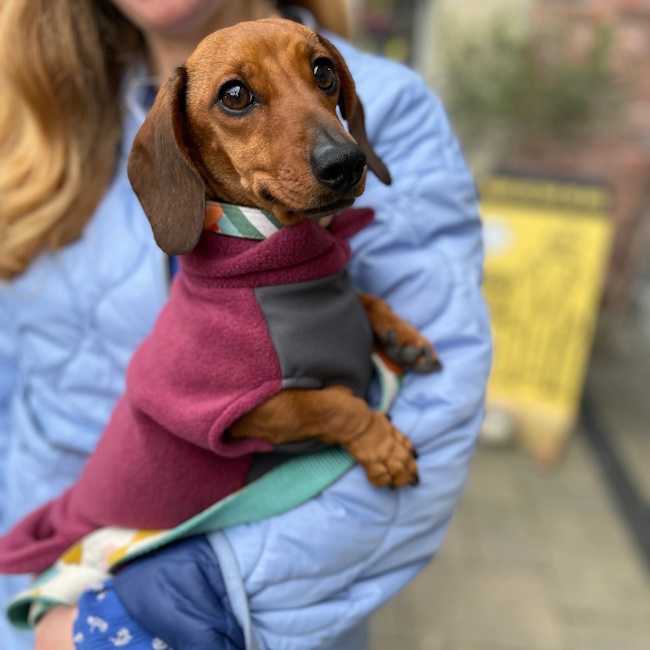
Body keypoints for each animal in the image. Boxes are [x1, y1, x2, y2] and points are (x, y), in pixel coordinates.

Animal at [128, 19, 438, 486]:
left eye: (324, 70)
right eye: (234, 94)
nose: (346, 162)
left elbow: (365, 298)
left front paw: (399, 334)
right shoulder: (240, 412)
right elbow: (332, 404)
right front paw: (382, 444)